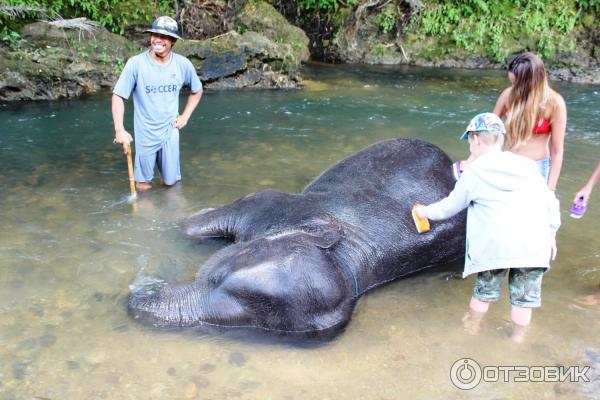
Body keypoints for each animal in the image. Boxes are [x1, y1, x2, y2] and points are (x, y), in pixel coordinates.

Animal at [129, 138, 466, 338]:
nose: (138, 293)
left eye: (248, 312)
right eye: (217, 277)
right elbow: (188, 226)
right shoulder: (276, 207)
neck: (345, 258)